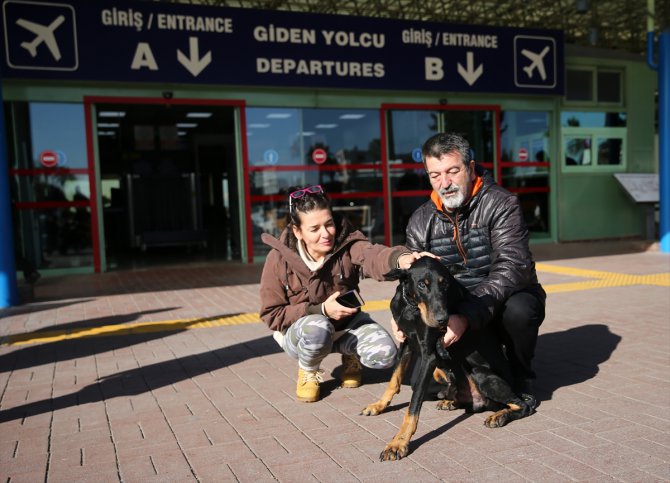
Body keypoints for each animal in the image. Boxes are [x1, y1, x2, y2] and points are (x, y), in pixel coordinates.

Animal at [362, 258, 536, 462]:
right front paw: (378, 406)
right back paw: (451, 402)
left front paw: (398, 443)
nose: (443, 320)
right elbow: (394, 380)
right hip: (442, 372)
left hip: (482, 376)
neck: (412, 307)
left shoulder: (429, 354)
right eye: (422, 284)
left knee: (523, 405)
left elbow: (413, 406)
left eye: (445, 283)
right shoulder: (406, 342)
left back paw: (499, 416)